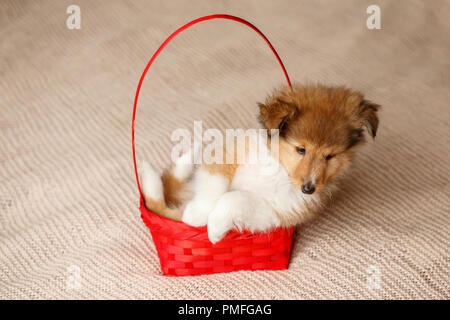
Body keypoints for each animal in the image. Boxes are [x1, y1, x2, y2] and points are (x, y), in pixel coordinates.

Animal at [140, 84, 380, 242]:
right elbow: (214, 188)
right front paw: (197, 216)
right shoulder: (228, 155)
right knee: (163, 196)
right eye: (301, 149)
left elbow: (233, 199)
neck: (280, 170)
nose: (308, 189)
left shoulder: (275, 212)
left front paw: (215, 229)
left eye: (330, 156)